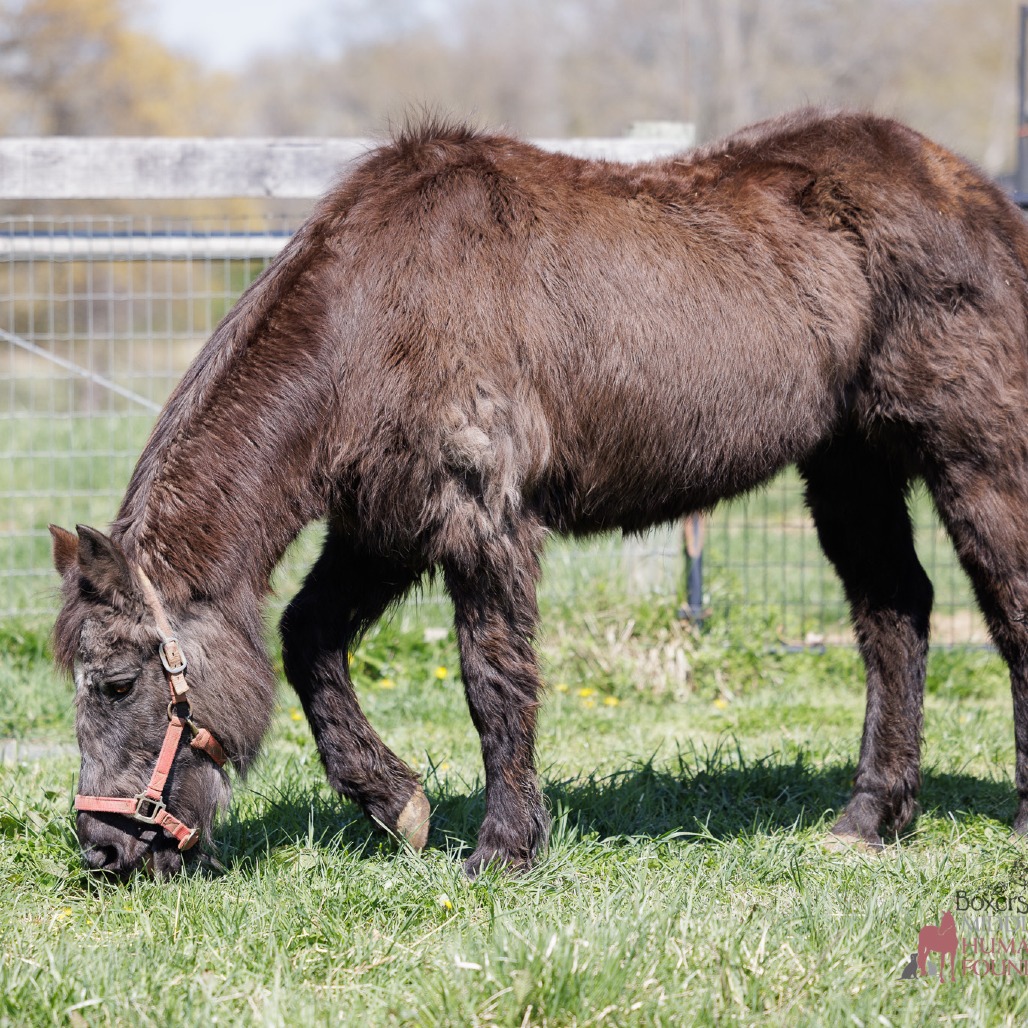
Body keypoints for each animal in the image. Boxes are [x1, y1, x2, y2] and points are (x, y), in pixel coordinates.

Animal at [50, 107, 1028, 879]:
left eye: (118, 682)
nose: (102, 851)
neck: (375, 312)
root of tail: (981, 200)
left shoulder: (481, 521)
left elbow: (493, 680)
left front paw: (504, 847)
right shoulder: (386, 526)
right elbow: (304, 636)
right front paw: (394, 802)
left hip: (975, 454)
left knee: (1007, 607)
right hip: (849, 466)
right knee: (895, 615)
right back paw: (871, 817)